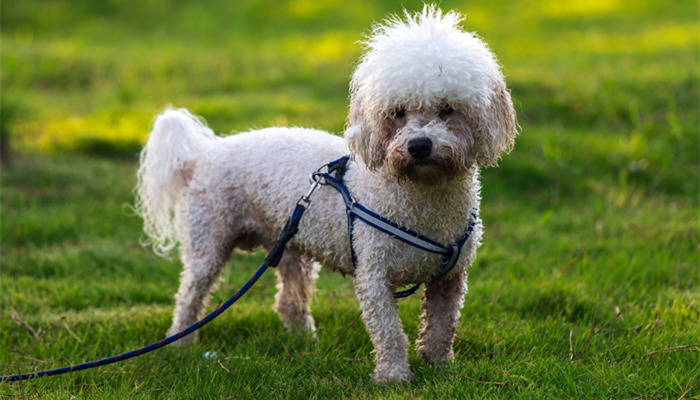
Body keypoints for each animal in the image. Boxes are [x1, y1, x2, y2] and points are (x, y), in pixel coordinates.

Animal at [135, 5, 516, 382]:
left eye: (447, 109)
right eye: (397, 113)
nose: (419, 146)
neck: (421, 195)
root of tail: (203, 154)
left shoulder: (450, 279)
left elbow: (441, 328)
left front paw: (439, 368)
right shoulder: (373, 275)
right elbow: (389, 332)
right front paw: (393, 377)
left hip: (289, 244)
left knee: (288, 301)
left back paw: (304, 341)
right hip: (208, 242)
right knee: (189, 295)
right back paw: (180, 344)